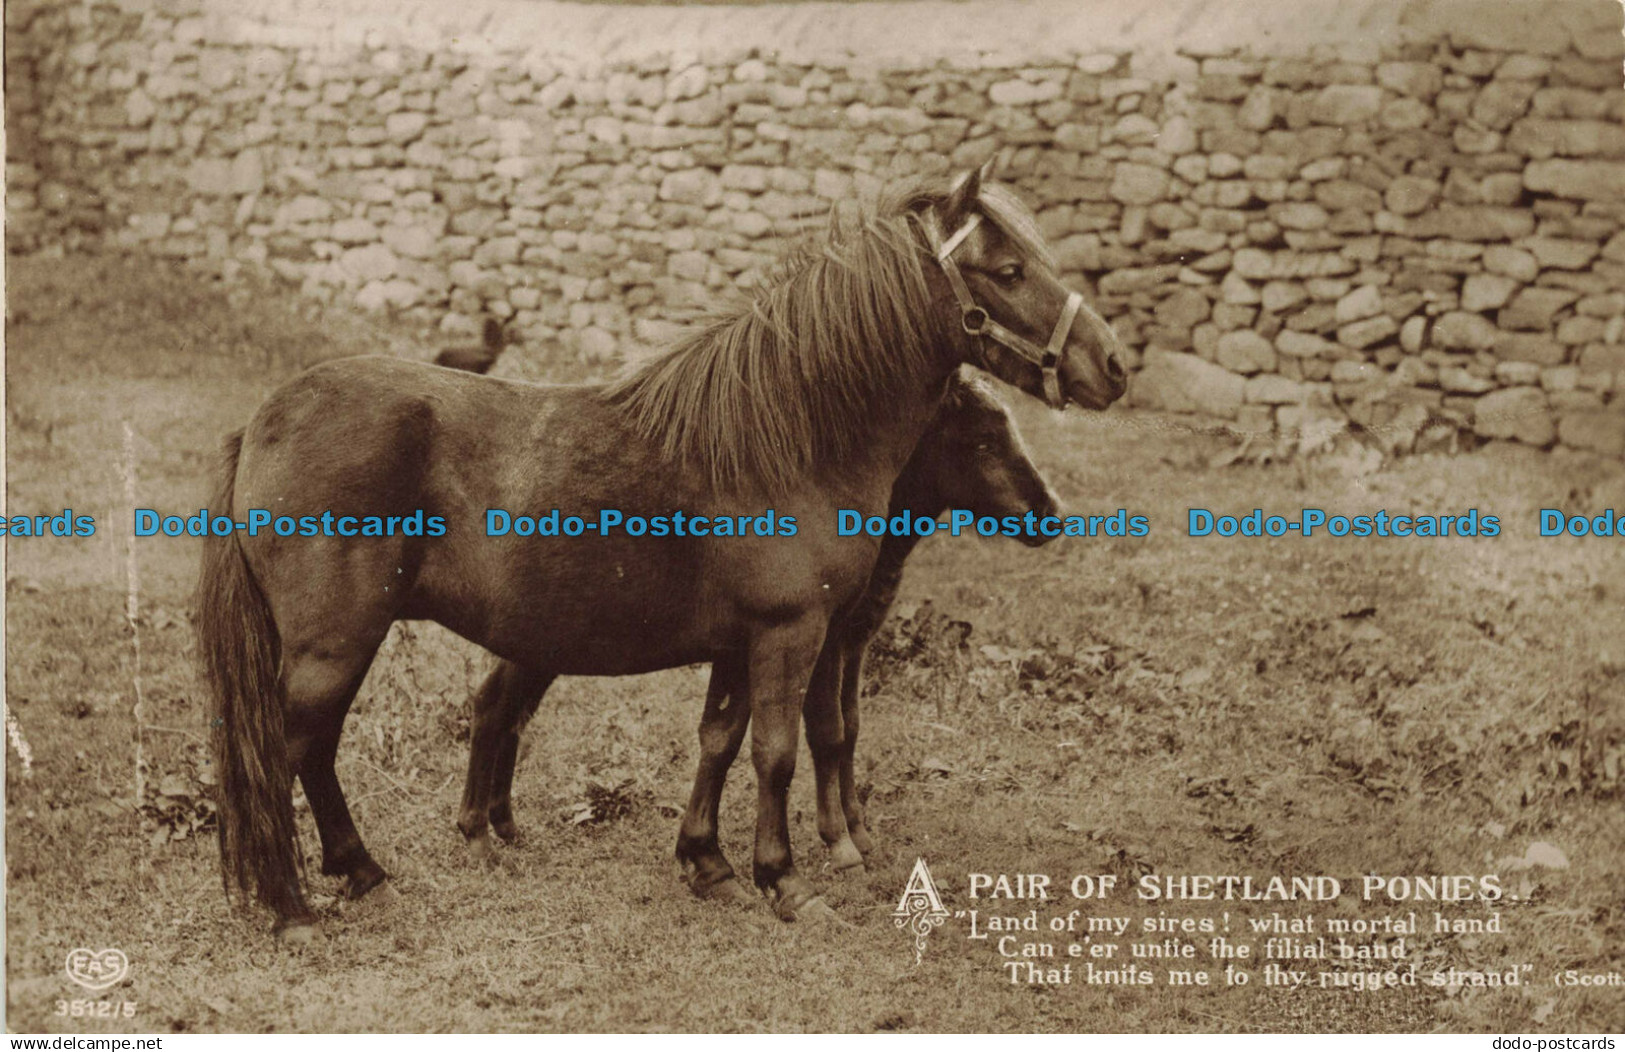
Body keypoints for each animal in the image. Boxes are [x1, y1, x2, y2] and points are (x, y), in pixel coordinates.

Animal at [462, 369, 1062, 880]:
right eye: (982, 442)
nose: (1049, 513)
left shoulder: (851, 639)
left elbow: (847, 726)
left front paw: (858, 831)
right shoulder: (821, 639)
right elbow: (827, 732)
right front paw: (840, 842)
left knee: (505, 707)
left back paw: (503, 823)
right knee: (496, 705)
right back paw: (485, 830)